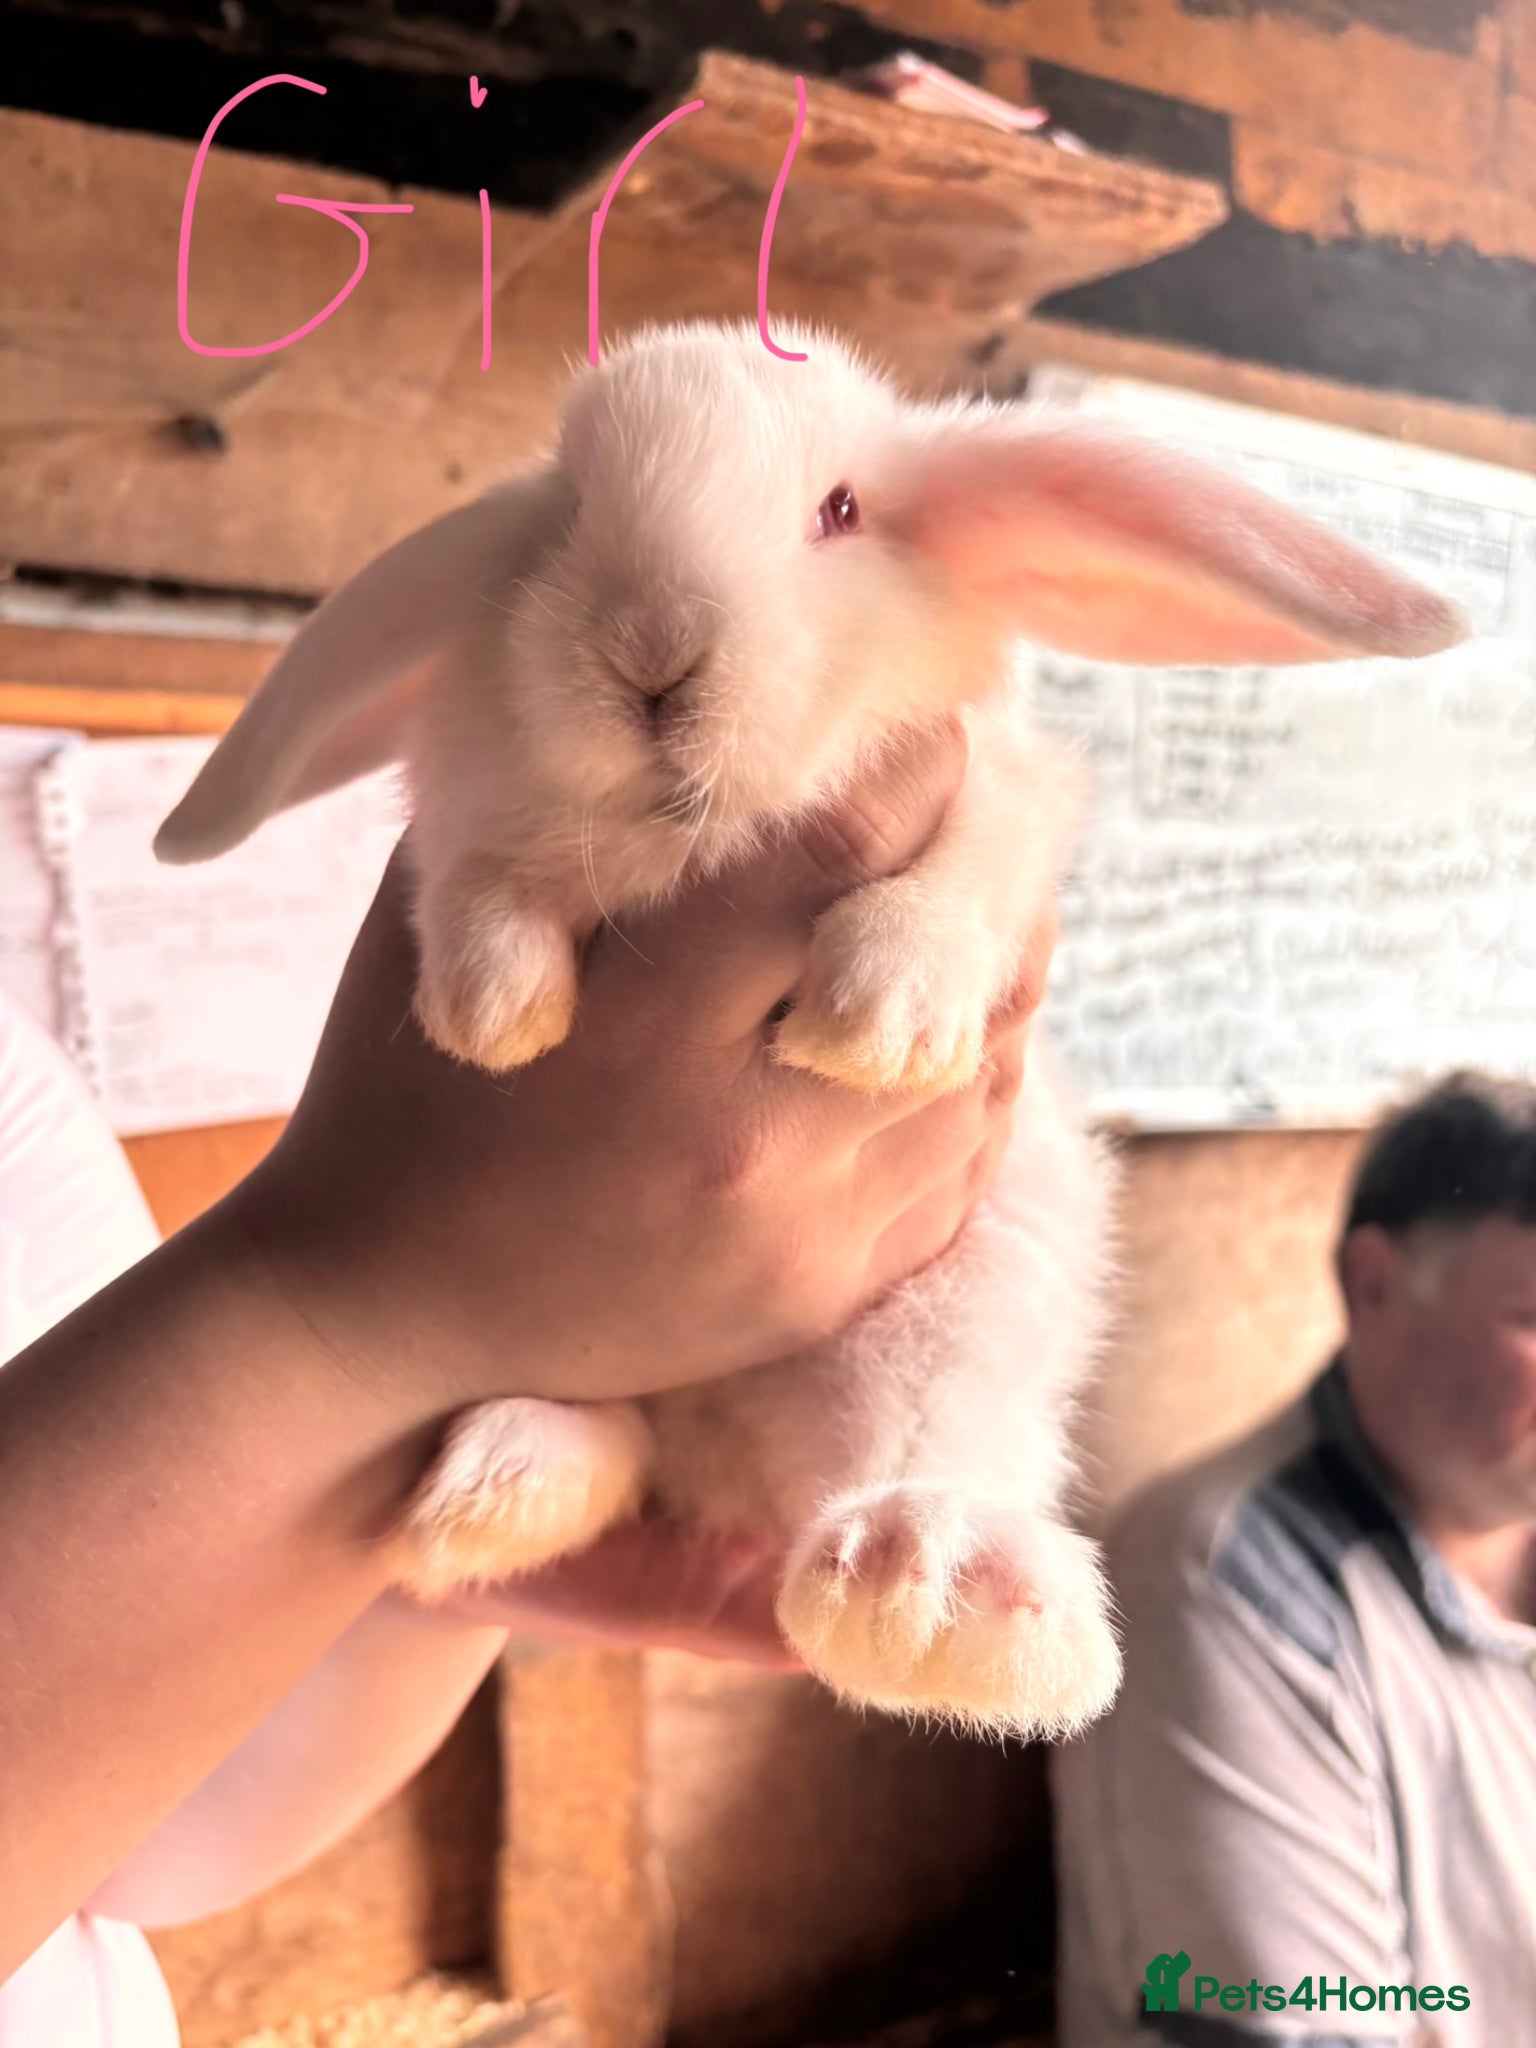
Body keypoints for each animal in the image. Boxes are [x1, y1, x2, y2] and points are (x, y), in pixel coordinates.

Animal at [155, 321, 1466, 1737]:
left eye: (840, 511)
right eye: (567, 516)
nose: (652, 652)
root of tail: (729, 1465)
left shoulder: (999, 794)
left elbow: (966, 872)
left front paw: (879, 1020)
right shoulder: (466, 812)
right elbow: (476, 882)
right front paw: (494, 1014)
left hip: (966, 1285)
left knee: (916, 1443)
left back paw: (934, 1595)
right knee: (616, 1434)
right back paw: (499, 1491)